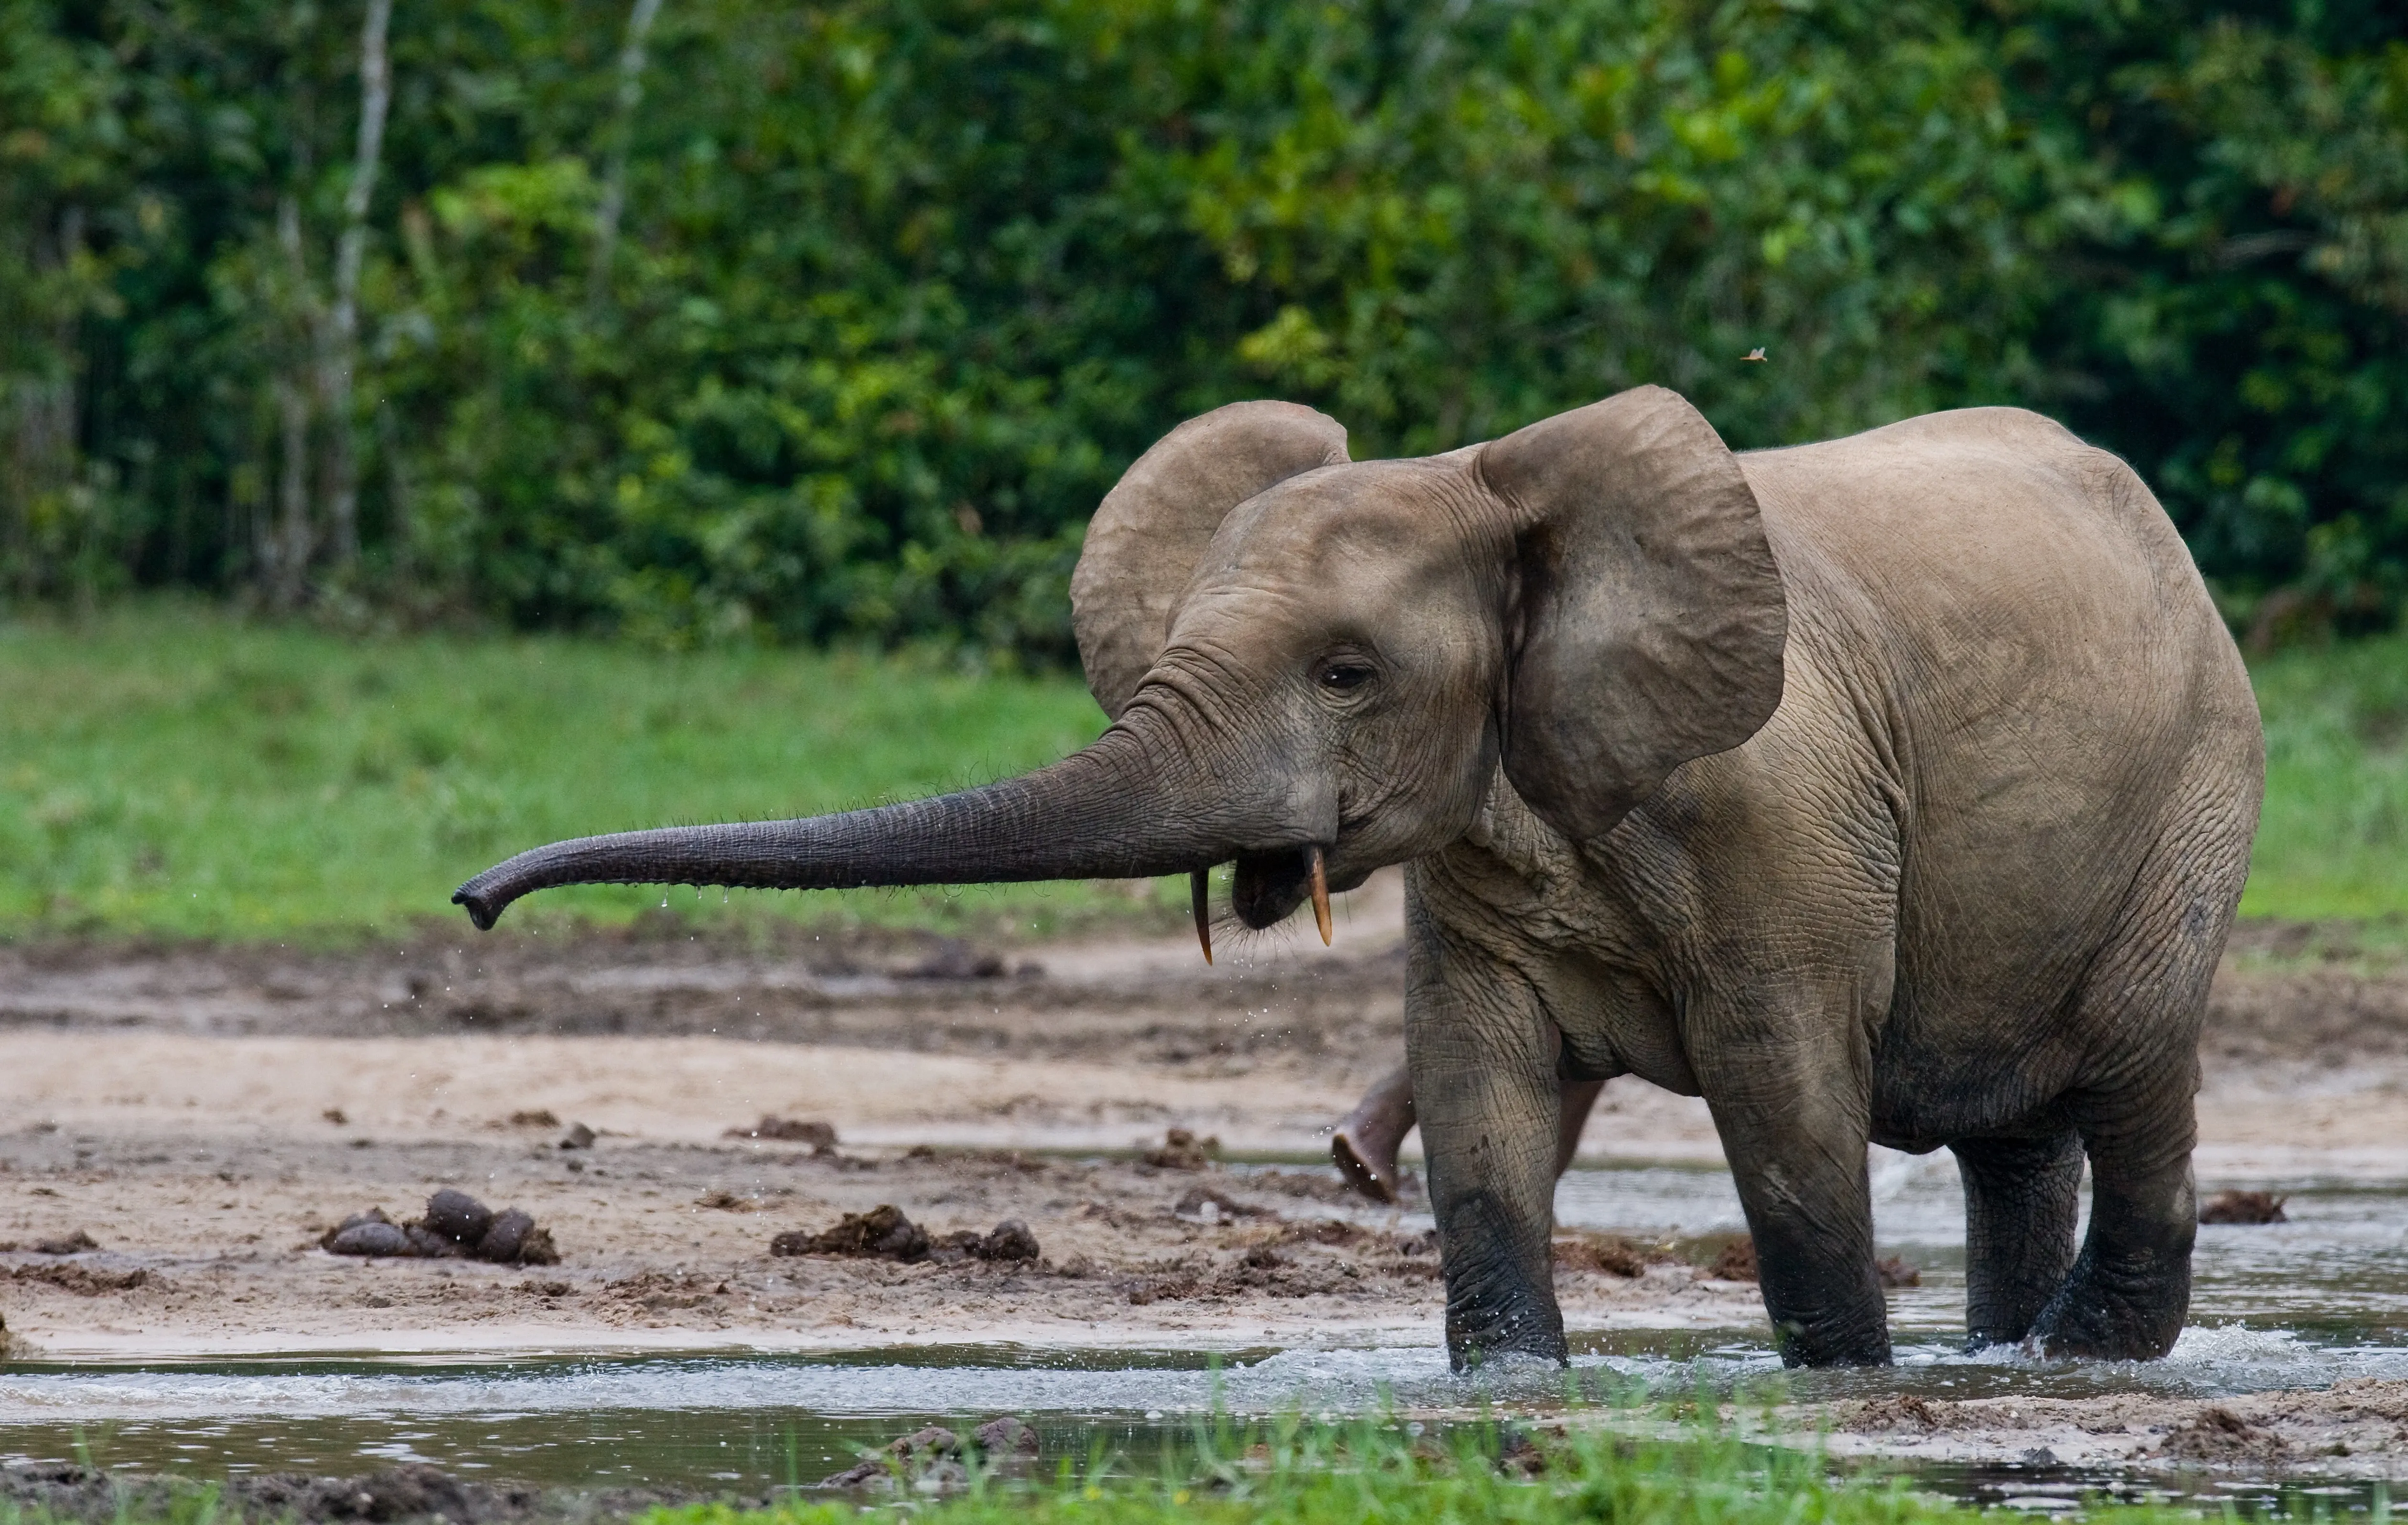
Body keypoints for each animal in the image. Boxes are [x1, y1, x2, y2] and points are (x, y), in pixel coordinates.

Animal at [454, 385, 2263, 1371]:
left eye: (1344, 675)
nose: (475, 903)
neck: (1505, 489)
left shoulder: (1784, 819)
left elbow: (1789, 1110)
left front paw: (1839, 1390)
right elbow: (1483, 1101)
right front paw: (1512, 1386)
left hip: (2195, 797)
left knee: (2130, 1078)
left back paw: (2087, 1358)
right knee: (2013, 1134)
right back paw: (2006, 1356)